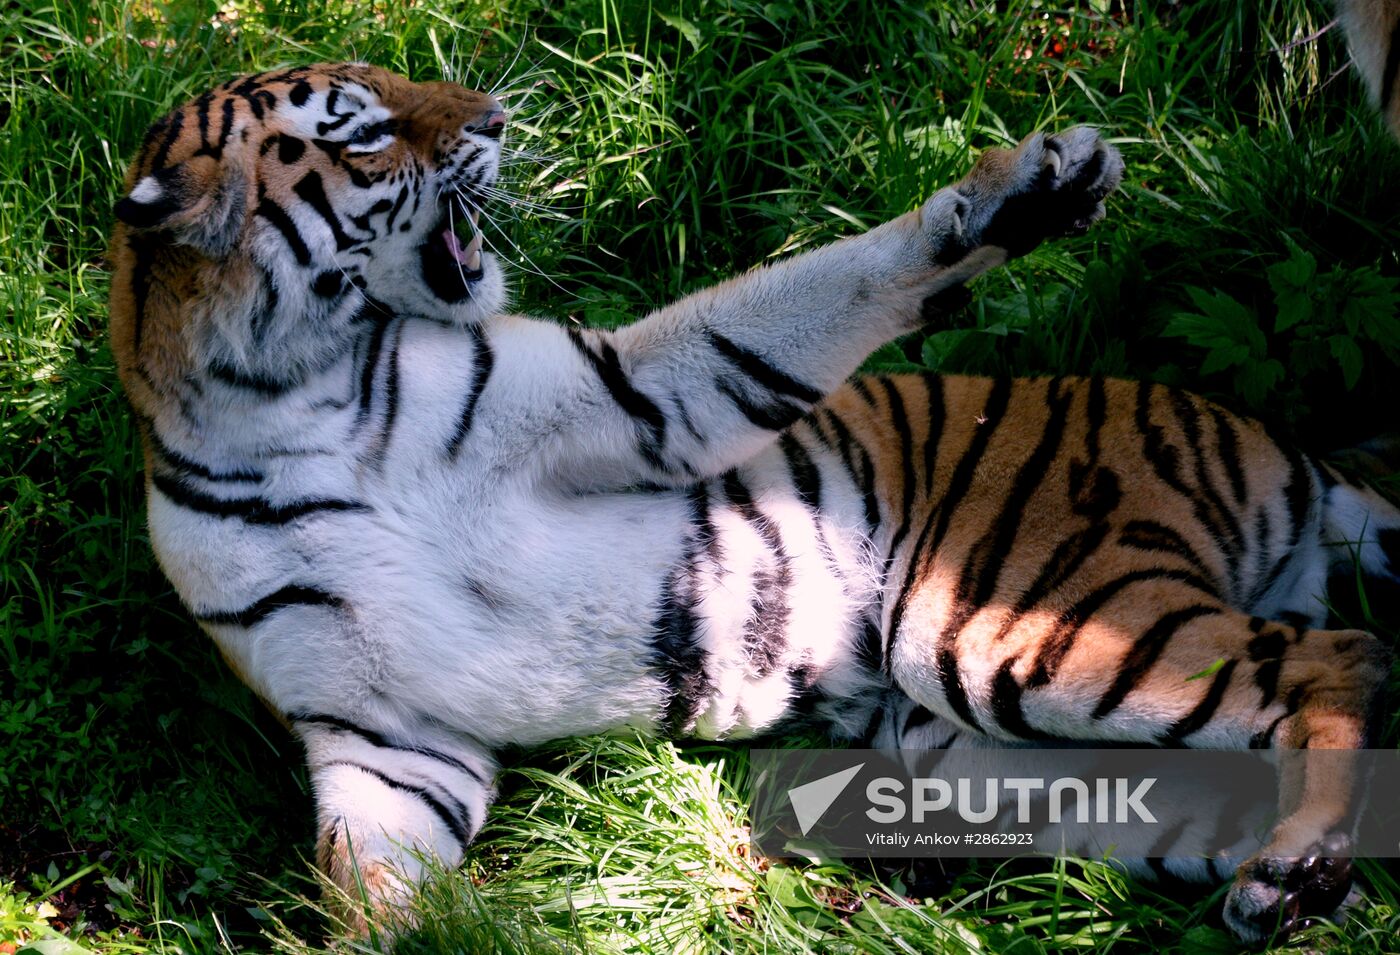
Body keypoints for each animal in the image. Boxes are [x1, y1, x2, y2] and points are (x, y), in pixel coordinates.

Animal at [112, 61, 1400, 946]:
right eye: (368, 130)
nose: (494, 117)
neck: (286, 401)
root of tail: (1280, 444)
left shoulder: (626, 395)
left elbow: (806, 295)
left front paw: (1018, 196)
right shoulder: (382, 728)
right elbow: (371, 877)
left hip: (1003, 626)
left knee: (1340, 654)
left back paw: (1299, 855)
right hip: (997, 754)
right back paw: (1293, 882)